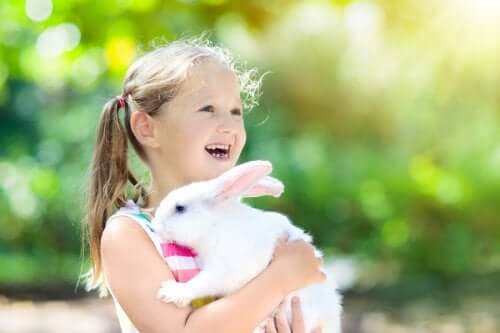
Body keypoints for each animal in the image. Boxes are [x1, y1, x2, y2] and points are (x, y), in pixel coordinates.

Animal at [150, 160, 342, 330]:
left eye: (180, 208)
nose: (155, 225)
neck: (214, 226)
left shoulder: (224, 271)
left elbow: (201, 283)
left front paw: (171, 292)